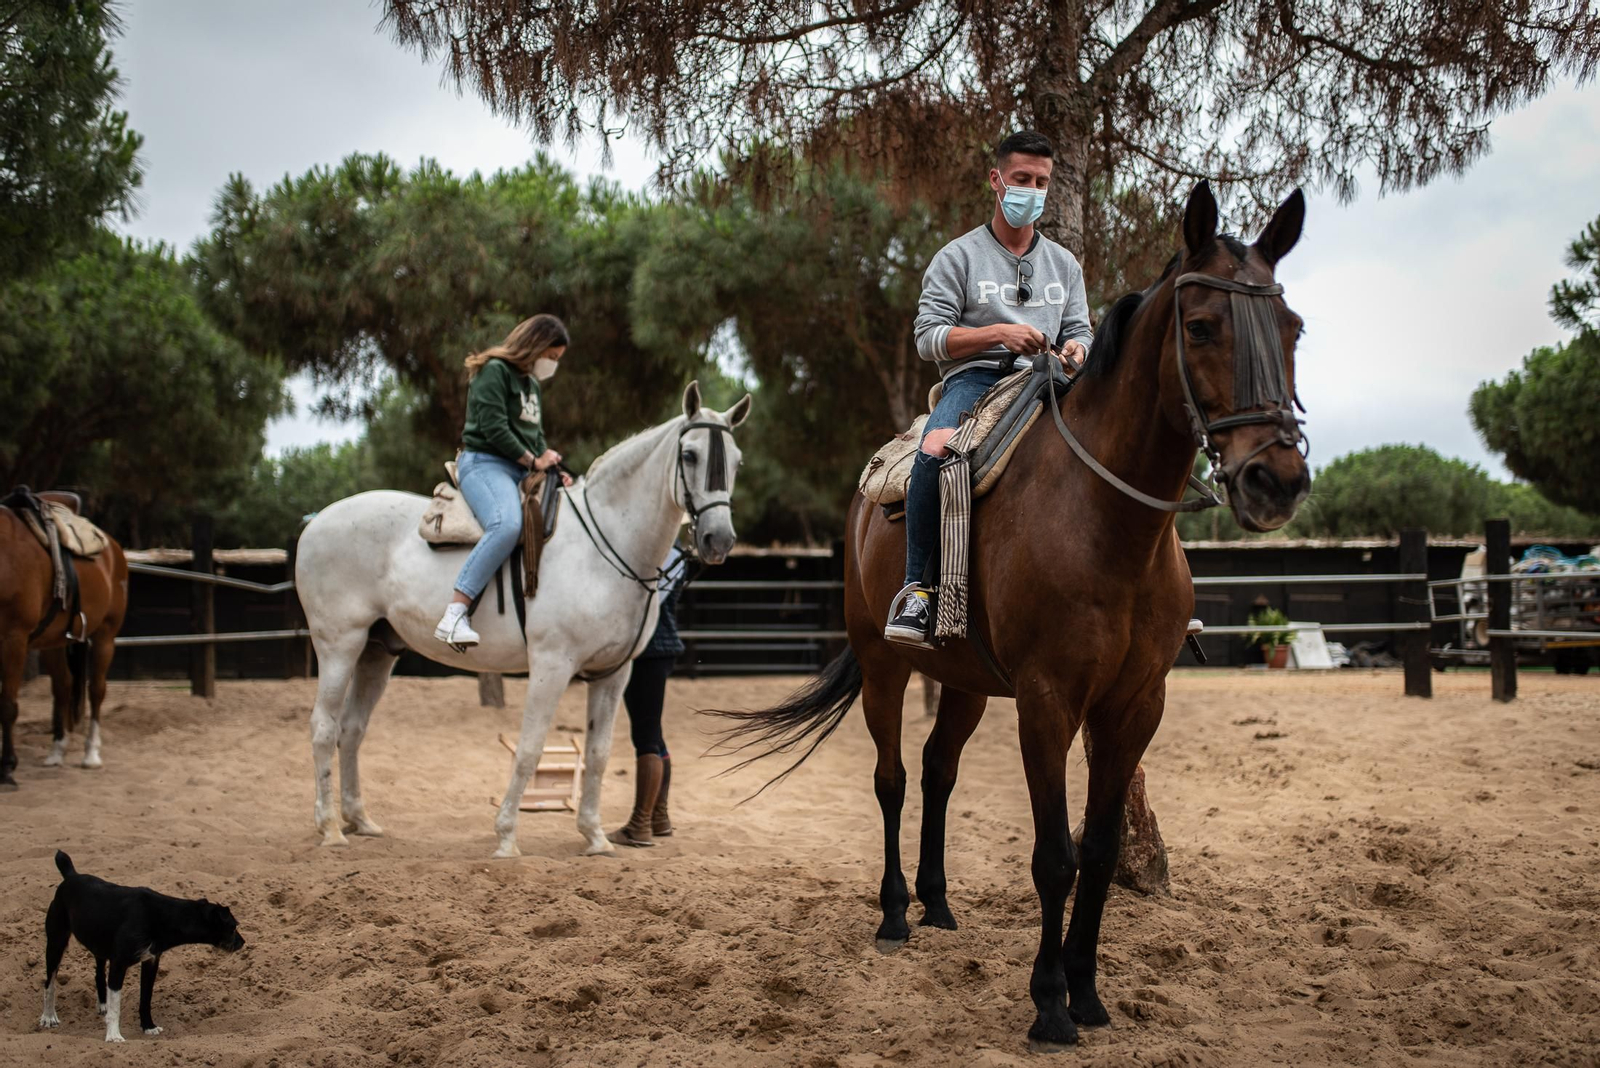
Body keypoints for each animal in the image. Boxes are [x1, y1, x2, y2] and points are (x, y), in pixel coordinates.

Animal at [0, 495, 129, 788]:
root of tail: (112, 547)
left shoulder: (13, 639)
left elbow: (8, 705)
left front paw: (7, 769)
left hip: (104, 637)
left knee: (96, 690)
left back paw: (91, 754)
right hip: (54, 643)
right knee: (63, 686)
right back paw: (57, 751)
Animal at [294, 382, 751, 856]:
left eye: (737, 460)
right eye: (690, 455)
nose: (719, 540)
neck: (603, 547)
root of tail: (317, 522)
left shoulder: (613, 674)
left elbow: (599, 753)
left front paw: (595, 837)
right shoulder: (552, 665)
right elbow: (530, 748)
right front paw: (507, 837)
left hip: (377, 653)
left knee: (352, 729)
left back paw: (359, 820)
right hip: (340, 646)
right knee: (324, 727)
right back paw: (329, 828)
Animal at [712, 182, 1311, 1051]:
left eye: (1293, 328)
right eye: (1202, 326)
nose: (1277, 479)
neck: (1108, 523)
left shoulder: (1135, 705)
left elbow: (1099, 849)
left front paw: (1089, 992)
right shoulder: (1047, 700)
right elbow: (1054, 855)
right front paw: (1050, 1004)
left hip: (963, 682)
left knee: (938, 769)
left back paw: (937, 903)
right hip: (887, 669)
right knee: (893, 778)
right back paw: (896, 914)